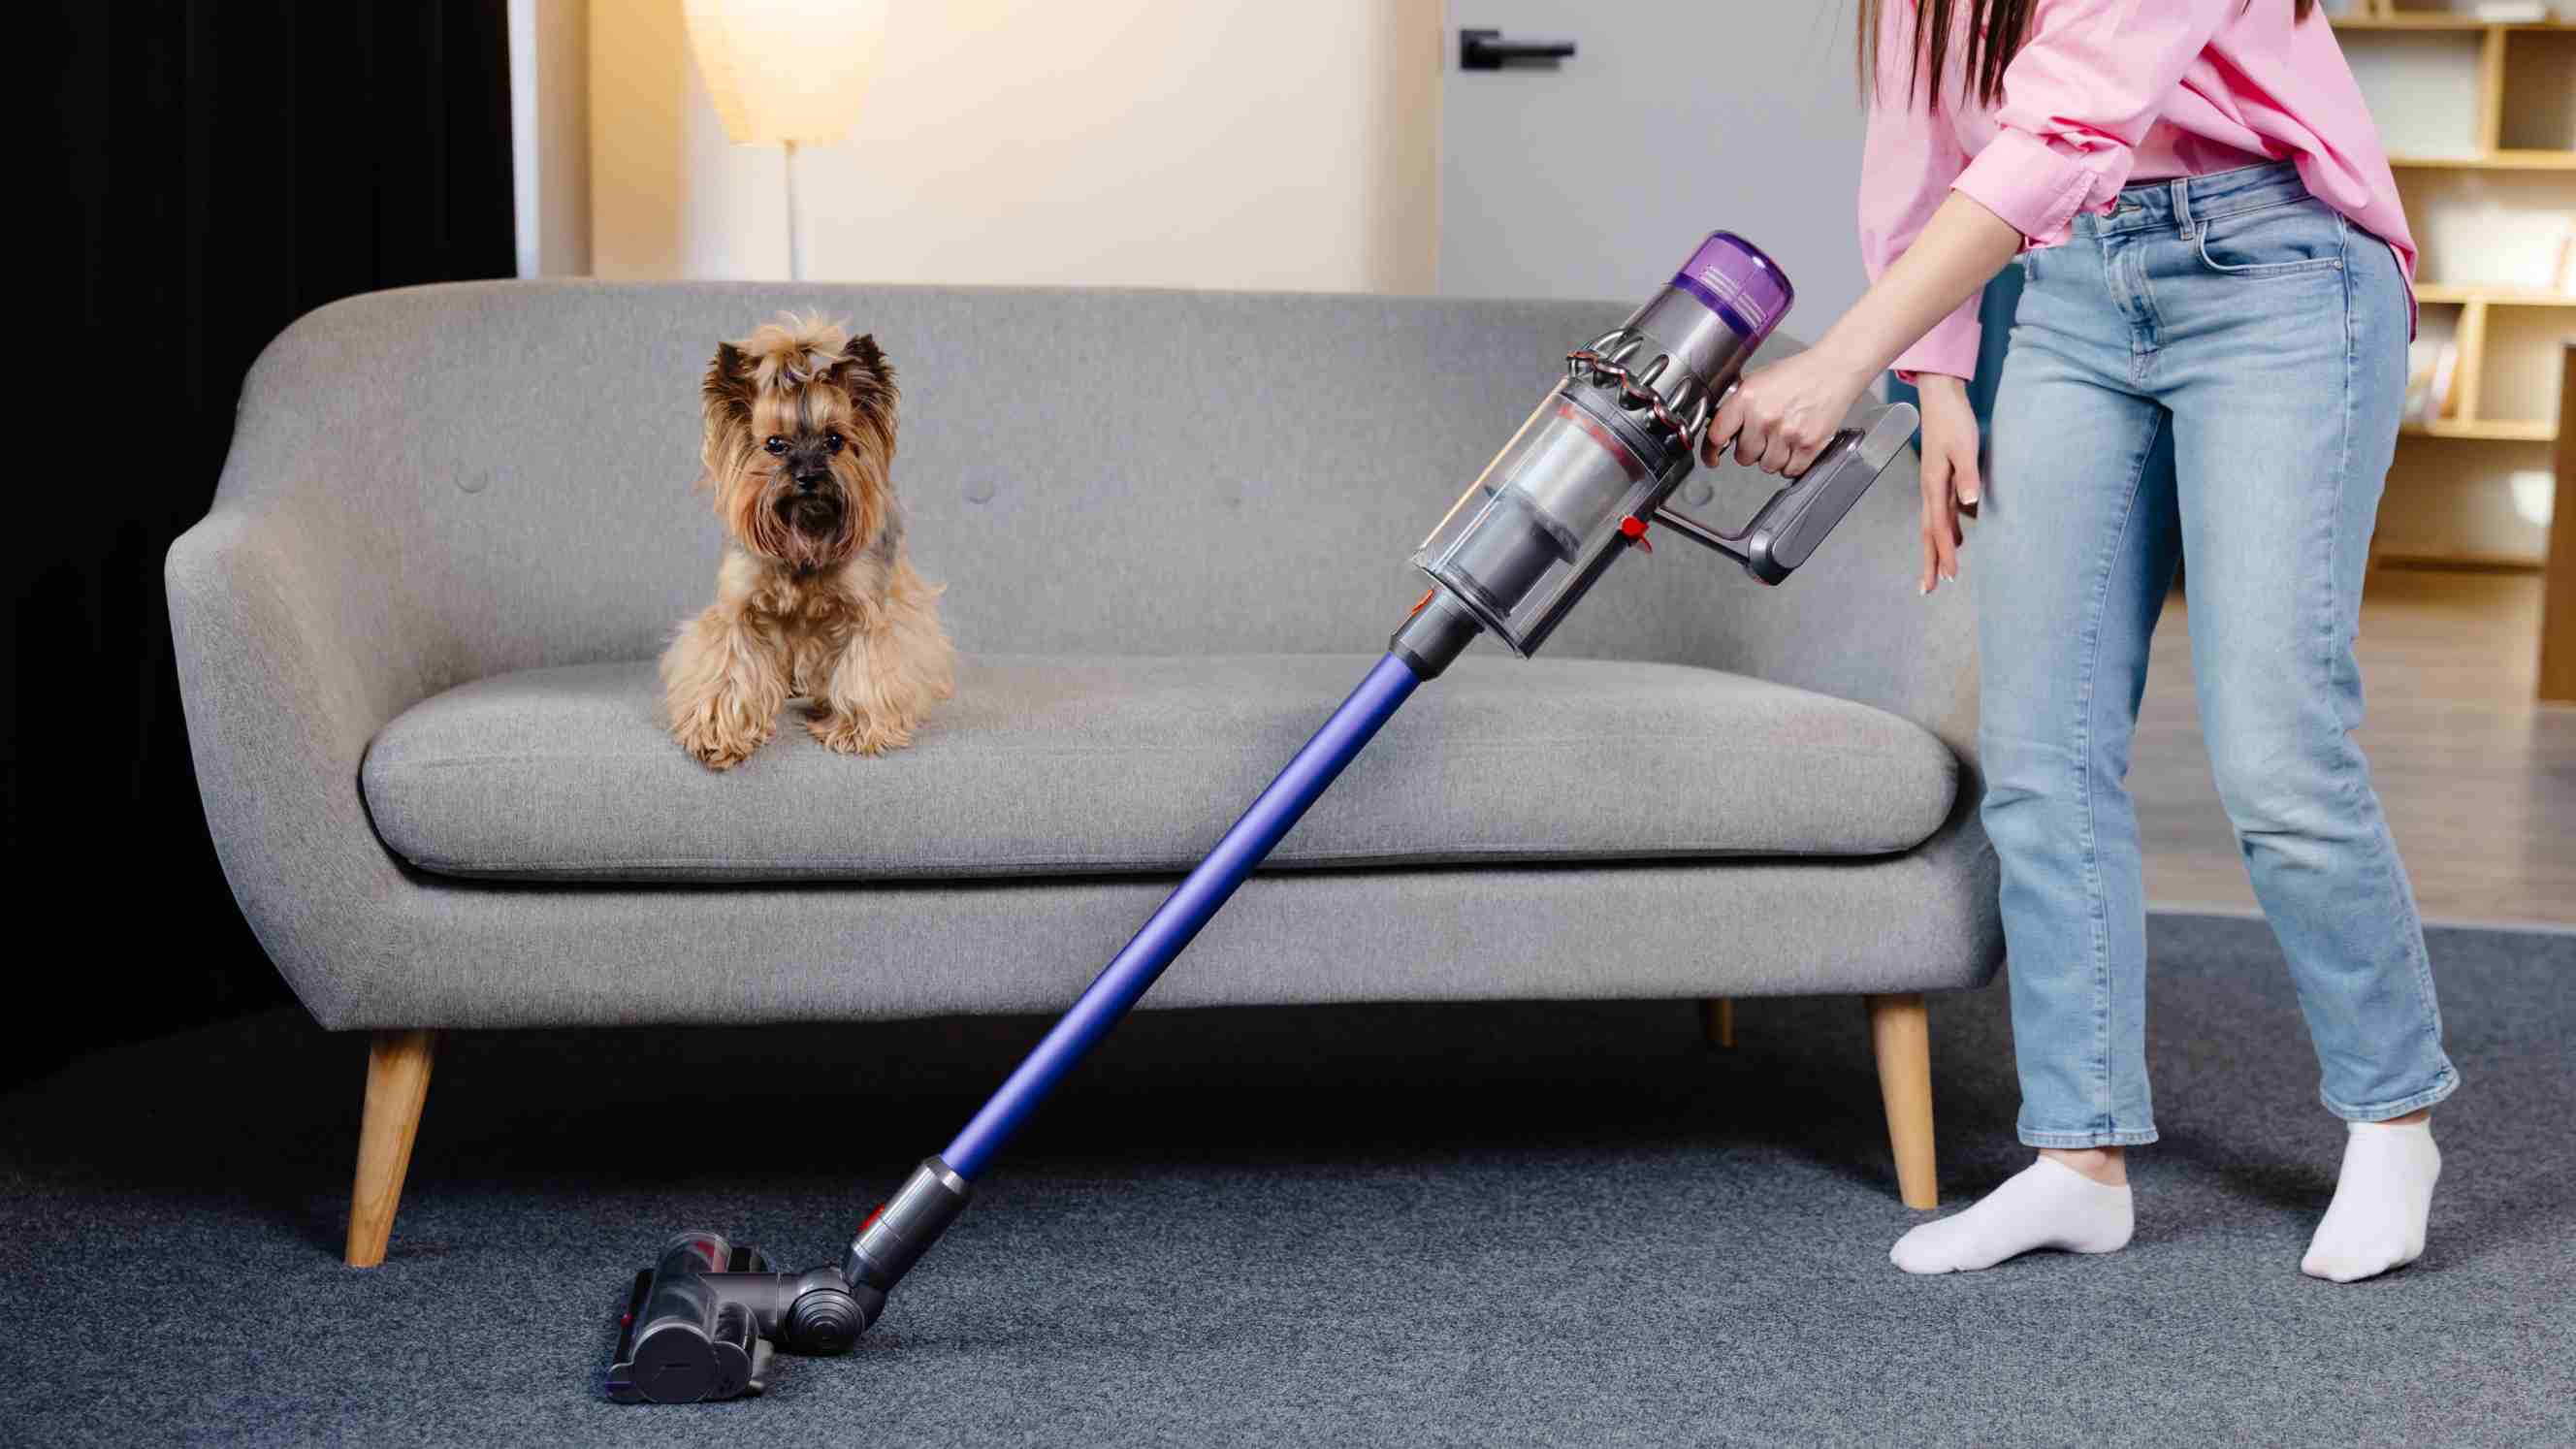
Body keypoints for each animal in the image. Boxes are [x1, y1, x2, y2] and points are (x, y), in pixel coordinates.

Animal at [659, 312, 952, 768]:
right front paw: (718, 735)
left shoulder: (866, 613)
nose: (809, 475)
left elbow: (864, 671)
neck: (804, 540)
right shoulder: (738, 611)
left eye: (834, 440)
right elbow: (727, 670)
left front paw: (855, 729)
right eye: (774, 445)